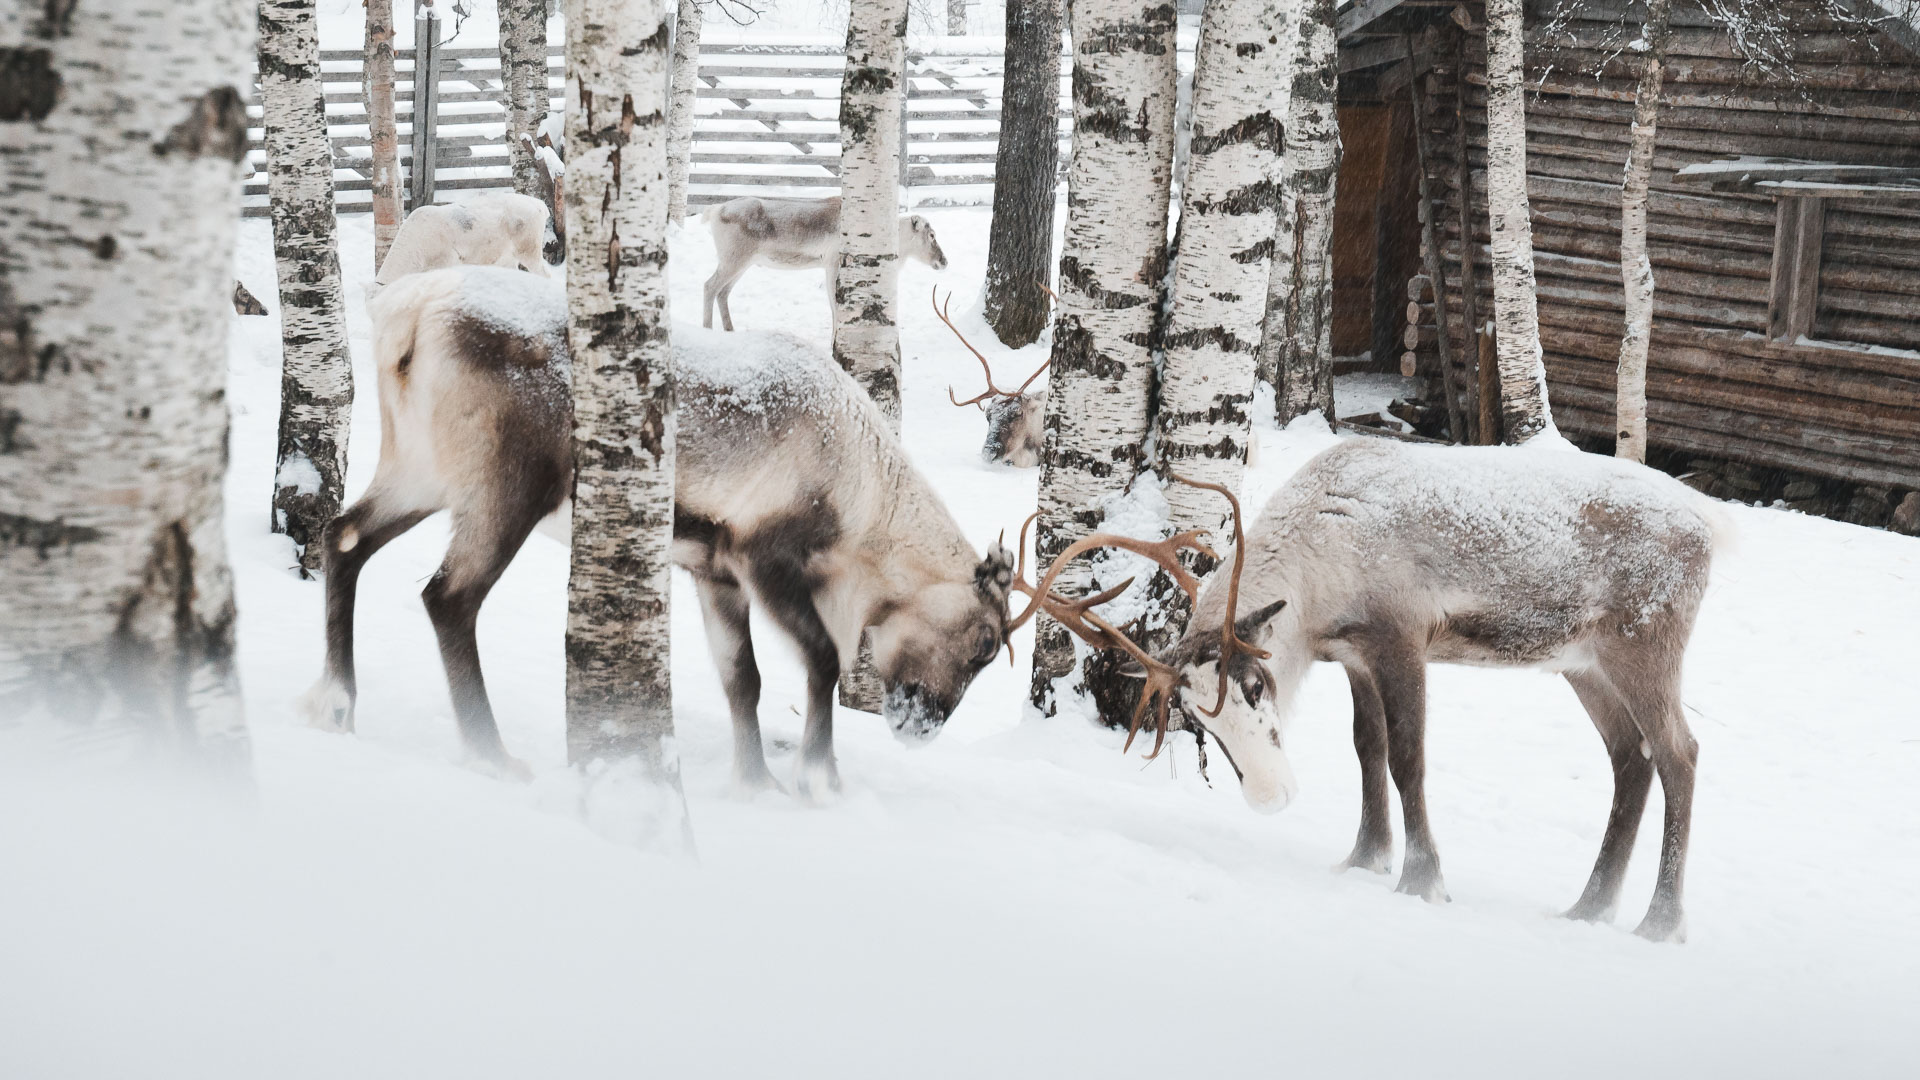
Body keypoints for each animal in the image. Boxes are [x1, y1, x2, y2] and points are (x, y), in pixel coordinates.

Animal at [303, 265, 1016, 801]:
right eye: (986, 642)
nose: (923, 728)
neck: (865, 507)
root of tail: (406, 313)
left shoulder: (713, 569)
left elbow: (743, 679)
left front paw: (754, 783)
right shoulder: (765, 556)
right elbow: (822, 659)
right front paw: (817, 780)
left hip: (419, 471)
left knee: (343, 538)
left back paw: (335, 703)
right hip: (507, 489)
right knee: (448, 597)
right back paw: (489, 755)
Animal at [701, 196, 949, 331]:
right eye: (932, 235)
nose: (944, 261)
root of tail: (714, 210)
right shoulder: (832, 263)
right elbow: (834, 309)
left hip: (743, 262)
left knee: (723, 292)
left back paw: (730, 330)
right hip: (733, 258)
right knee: (709, 286)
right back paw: (708, 329)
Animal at [1008, 445, 1729, 943]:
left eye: (1255, 684)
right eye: (1195, 718)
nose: (1270, 799)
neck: (1317, 576)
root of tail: (1712, 529)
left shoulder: (1401, 637)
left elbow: (1408, 757)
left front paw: (1423, 879)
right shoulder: (1353, 656)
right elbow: (1367, 750)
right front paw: (1365, 858)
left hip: (1642, 645)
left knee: (1680, 753)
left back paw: (1660, 921)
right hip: (1583, 664)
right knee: (1630, 757)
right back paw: (1590, 907)